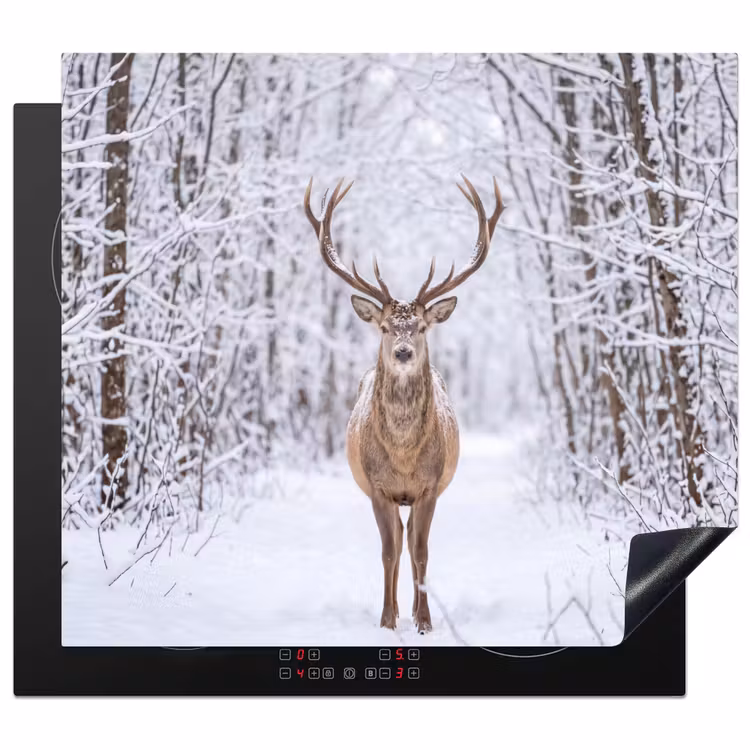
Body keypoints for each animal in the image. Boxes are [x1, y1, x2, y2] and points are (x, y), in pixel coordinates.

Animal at [303, 176, 504, 633]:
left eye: (422, 326)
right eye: (383, 326)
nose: (403, 351)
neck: (404, 456)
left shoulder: (429, 486)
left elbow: (421, 551)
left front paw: (425, 621)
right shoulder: (378, 488)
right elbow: (389, 551)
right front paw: (386, 620)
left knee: (413, 542)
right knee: (397, 541)